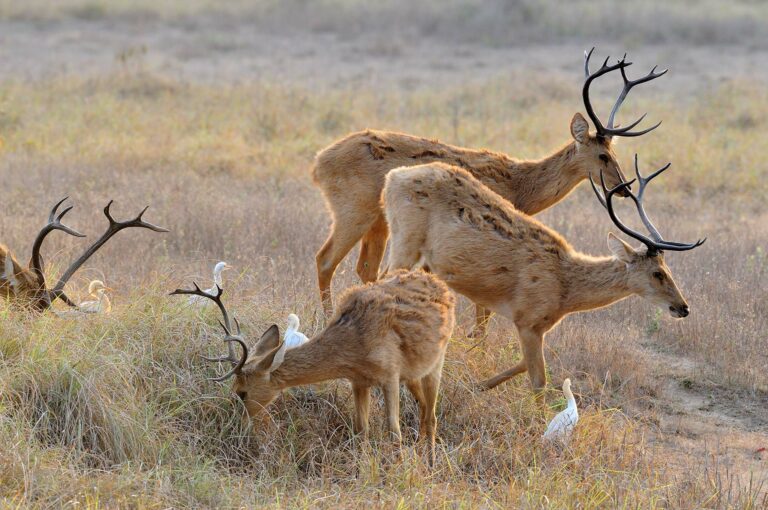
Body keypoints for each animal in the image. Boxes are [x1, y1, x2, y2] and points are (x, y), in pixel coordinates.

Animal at [171, 270, 456, 462]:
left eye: (242, 392)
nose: (237, 427)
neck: (355, 342)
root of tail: (443, 286)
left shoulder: (390, 376)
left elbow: (393, 431)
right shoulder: (359, 381)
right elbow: (361, 429)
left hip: (436, 363)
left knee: (431, 416)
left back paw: (430, 463)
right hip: (412, 375)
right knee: (423, 409)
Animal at [312, 45, 664, 334]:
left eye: (614, 152)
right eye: (603, 155)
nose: (623, 188)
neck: (521, 184)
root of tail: (319, 162)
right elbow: (485, 308)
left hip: (379, 224)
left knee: (365, 269)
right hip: (353, 211)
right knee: (325, 259)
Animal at [380, 155, 704, 394]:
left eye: (668, 269)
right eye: (658, 273)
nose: (683, 308)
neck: (565, 288)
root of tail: (393, 177)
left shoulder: (539, 326)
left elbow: (523, 364)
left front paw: (477, 386)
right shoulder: (527, 320)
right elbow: (539, 382)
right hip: (406, 240)